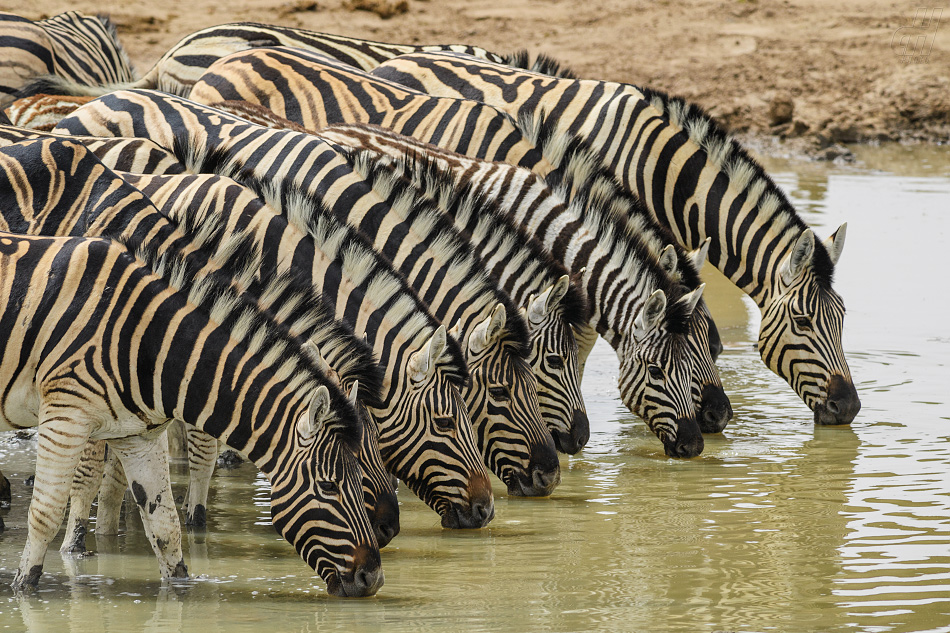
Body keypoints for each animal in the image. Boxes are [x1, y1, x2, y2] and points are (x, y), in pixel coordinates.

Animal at [0, 136, 398, 544]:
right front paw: (82, 545)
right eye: (357, 455)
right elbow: (98, 471)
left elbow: (123, 478)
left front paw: (115, 537)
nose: (390, 527)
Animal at [0, 230, 384, 596]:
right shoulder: (65, 414)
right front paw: (23, 590)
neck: (147, 339)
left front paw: (182, 590)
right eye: (328, 486)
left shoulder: (137, 435)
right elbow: (46, 513)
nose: (373, 579)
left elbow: (166, 526)